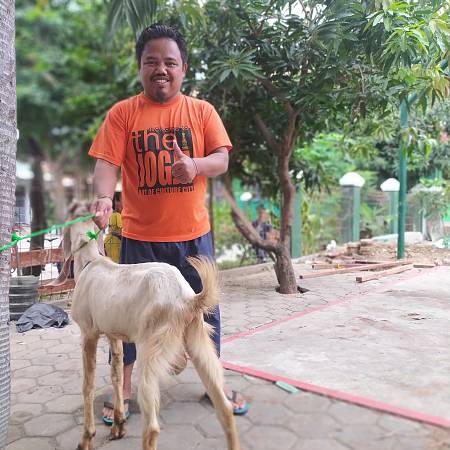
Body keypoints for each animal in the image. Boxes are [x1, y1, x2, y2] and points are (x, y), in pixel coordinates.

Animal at [60, 202, 241, 450]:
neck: (91, 263)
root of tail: (188, 298)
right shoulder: (114, 336)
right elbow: (117, 376)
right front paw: (118, 425)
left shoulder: (88, 333)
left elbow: (87, 387)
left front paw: (86, 438)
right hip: (198, 339)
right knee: (224, 408)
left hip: (151, 347)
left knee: (152, 427)